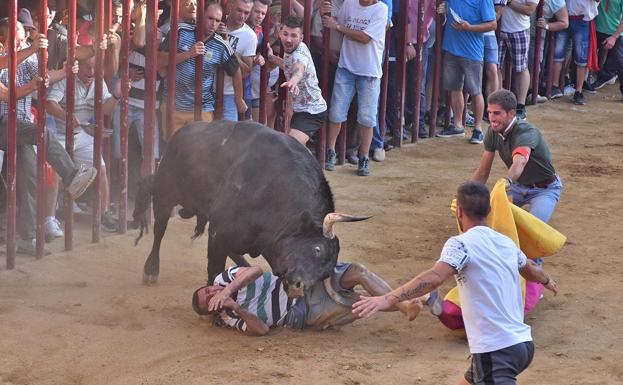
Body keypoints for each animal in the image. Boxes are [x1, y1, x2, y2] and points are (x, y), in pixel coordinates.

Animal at [133, 121, 368, 296]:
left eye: (326, 274)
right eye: (317, 249)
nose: (299, 289)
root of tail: (181, 132)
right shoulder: (219, 232)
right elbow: (214, 268)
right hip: (166, 191)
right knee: (159, 225)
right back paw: (150, 267)